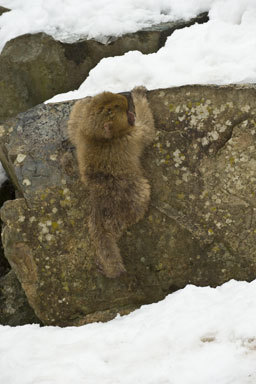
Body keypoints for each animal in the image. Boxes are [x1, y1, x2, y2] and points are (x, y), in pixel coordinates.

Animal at [67, 86, 154, 280]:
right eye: (121, 110)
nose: (131, 112)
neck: (99, 137)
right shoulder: (132, 136)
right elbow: (147, 130)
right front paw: (139, 96)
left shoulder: (82, 132)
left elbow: (74, 123)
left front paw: (84, 100)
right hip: (130, 197)